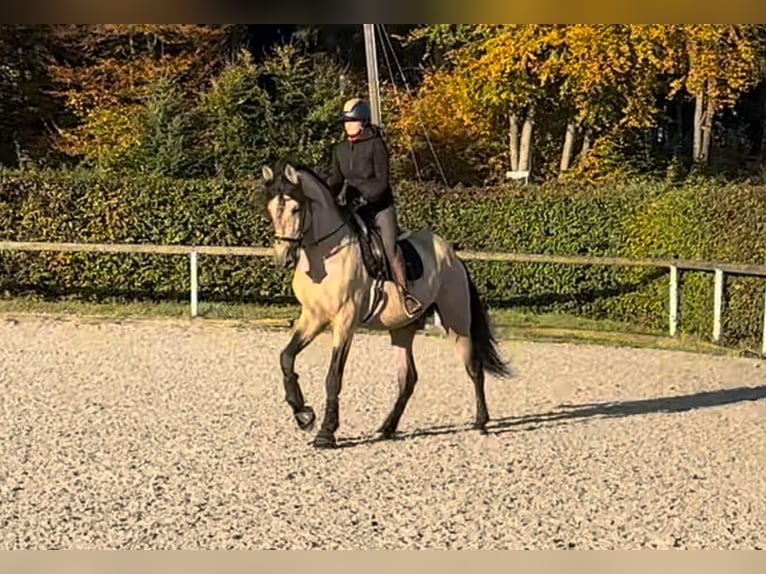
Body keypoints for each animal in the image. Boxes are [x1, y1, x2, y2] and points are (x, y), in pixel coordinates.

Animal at [260, 162, 512, 450]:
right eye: (270, 210)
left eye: (295, 209)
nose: (283, 258)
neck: (323, 255)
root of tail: (454, 257)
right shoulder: (312, 317)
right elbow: (286, 358)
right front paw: (303, 413)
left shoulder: (345, 322)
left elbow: (333, 377)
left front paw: (326, 433)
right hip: (402, 329)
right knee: (408, 379)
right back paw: (387, 428)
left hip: (456, 322)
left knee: (474, 368)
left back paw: (481, 422)